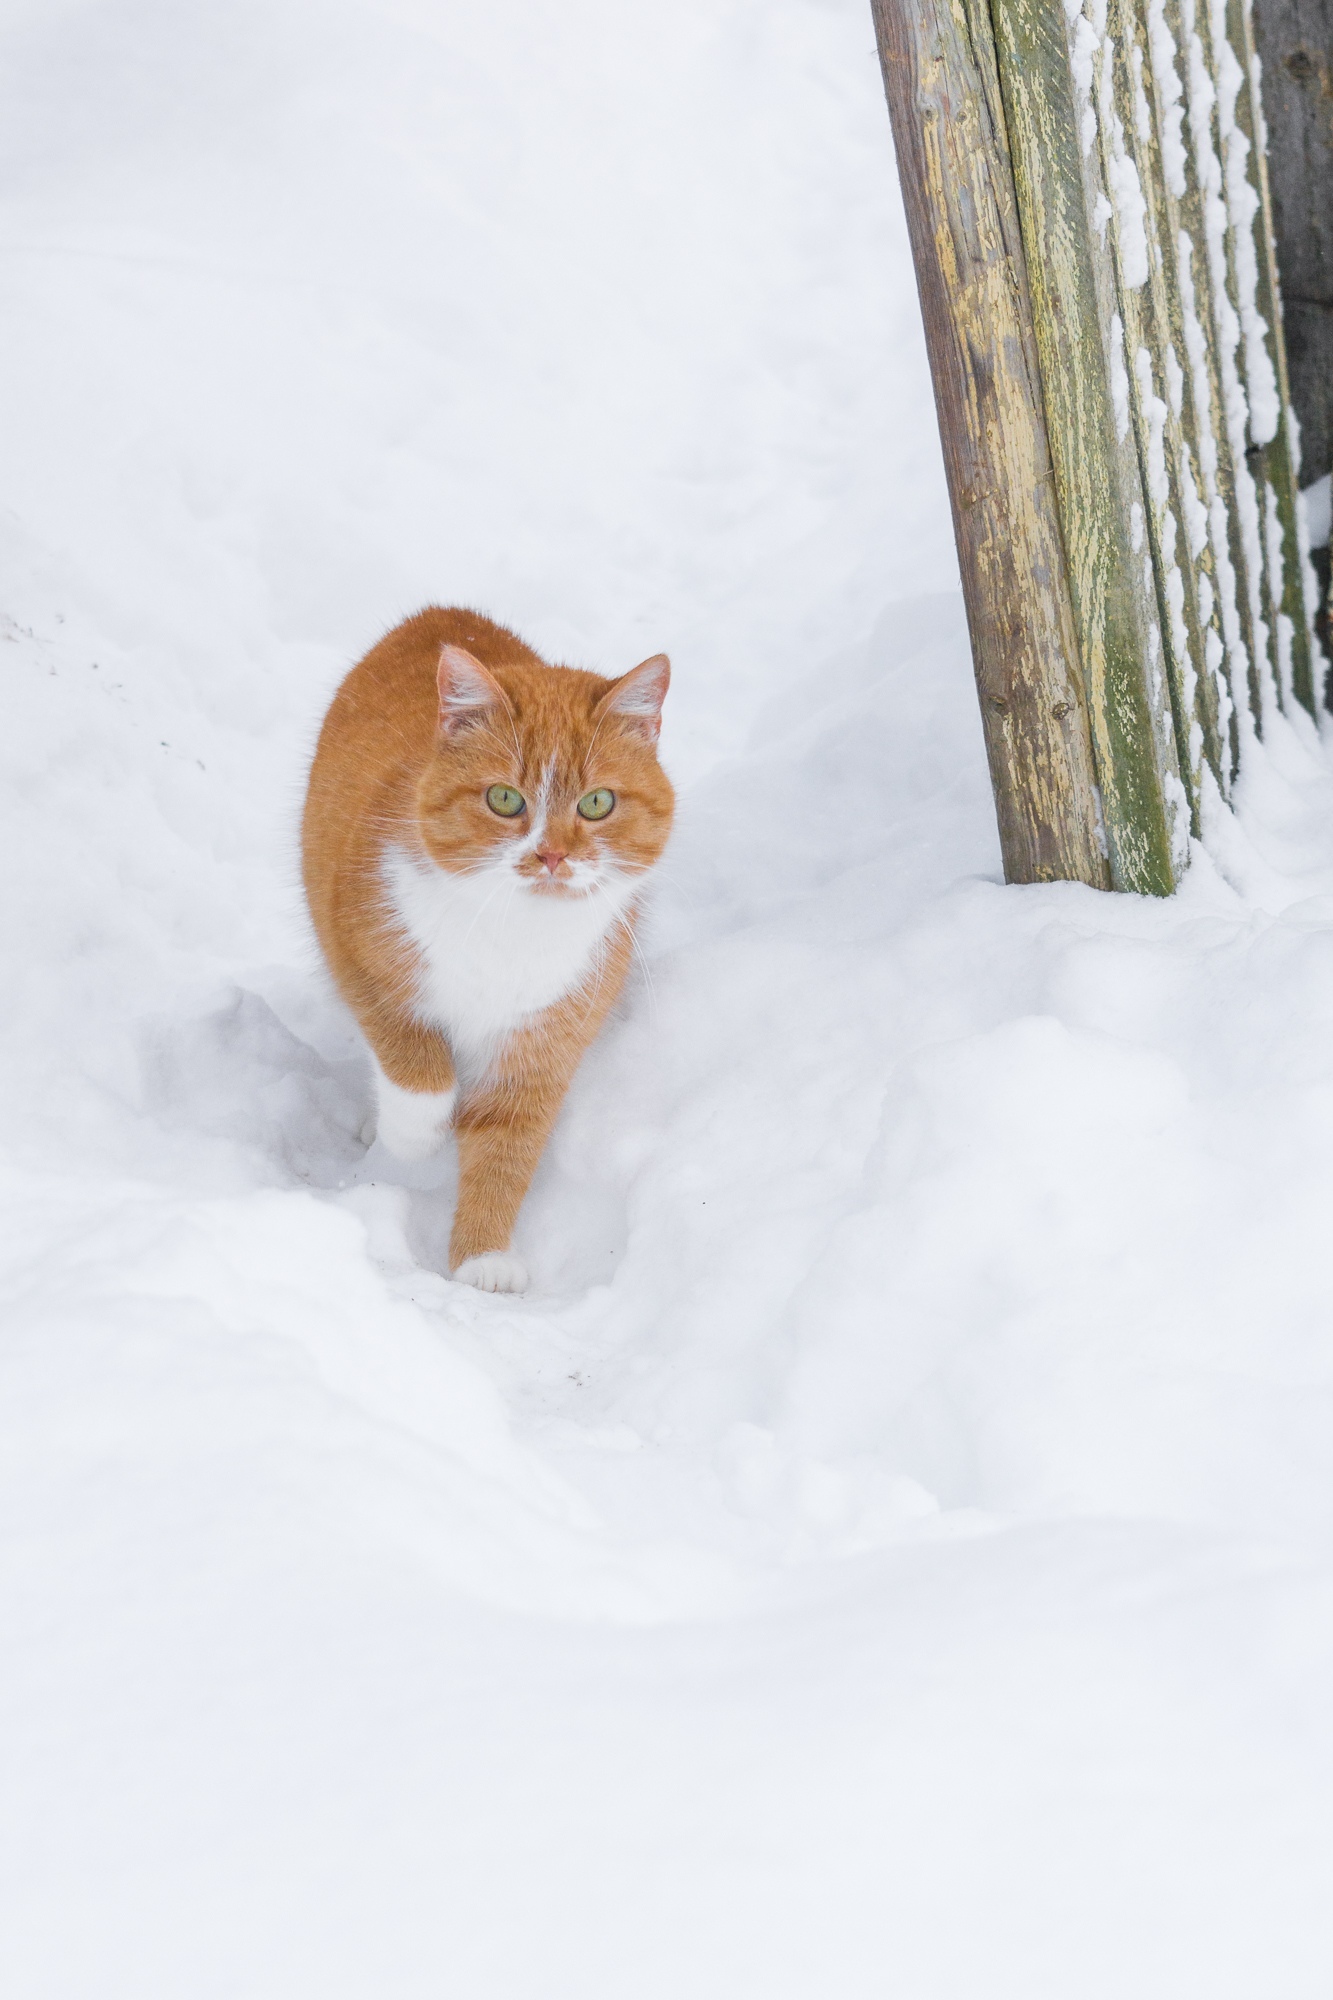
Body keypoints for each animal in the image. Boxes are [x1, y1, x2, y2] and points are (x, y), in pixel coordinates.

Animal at [304, 608, 668, 1288]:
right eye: (505, 799)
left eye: (597, 803)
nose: (551, 856)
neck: (514, 933)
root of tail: (442, 612)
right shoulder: (363, 957)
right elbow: (416, 1069)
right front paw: (415, 1140)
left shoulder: (546, 1038)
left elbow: (507, 1147)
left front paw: (483, 1257)